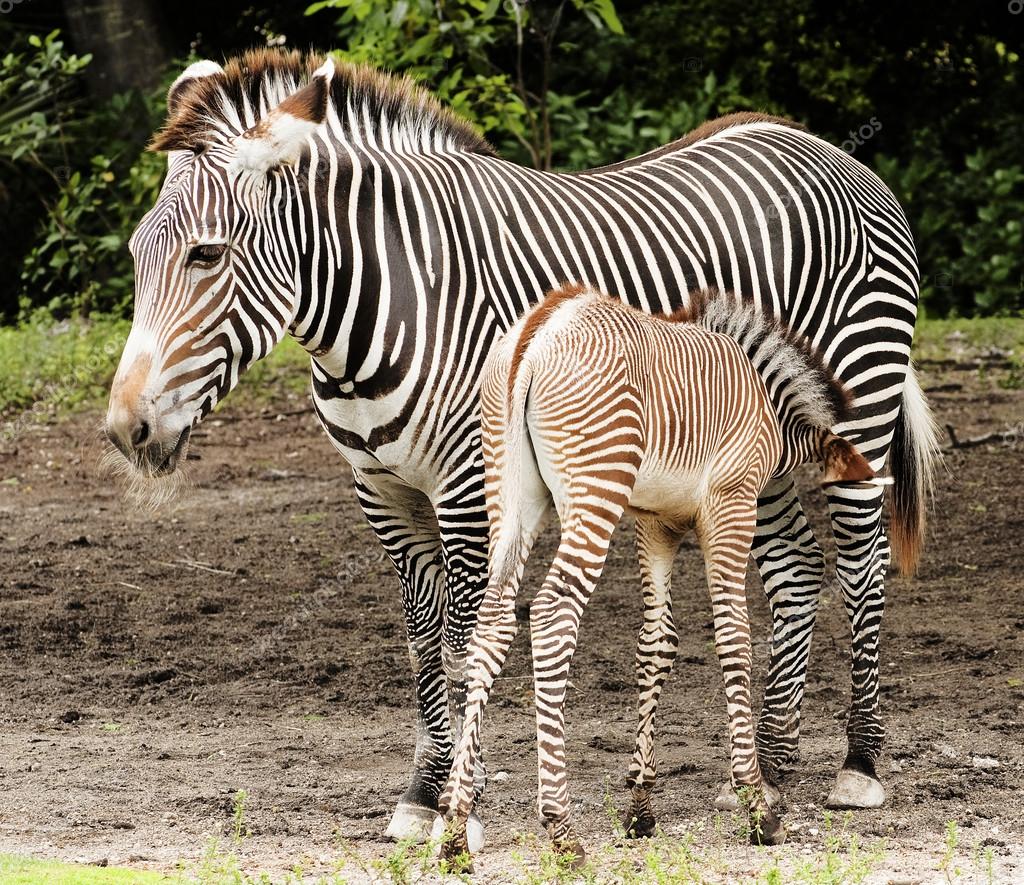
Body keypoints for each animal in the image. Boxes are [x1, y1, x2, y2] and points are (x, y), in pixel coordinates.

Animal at [437, 284, 881, 866]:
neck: (765, 401)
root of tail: (546, 323)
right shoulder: (729, 506)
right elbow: (735, 638)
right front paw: (756, 803)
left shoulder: (656, 522)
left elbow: (658, 643)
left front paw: (641, 805)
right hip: (596, 491)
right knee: (554, 617)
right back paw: (561, 829)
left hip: (511, 493)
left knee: (492, 621)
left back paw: (454, 824)